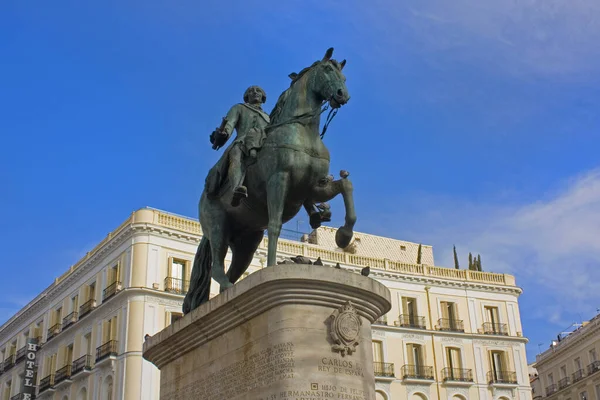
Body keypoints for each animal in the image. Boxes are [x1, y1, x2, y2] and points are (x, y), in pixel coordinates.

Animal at [183, 48, 356, 314]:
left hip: (247, 242)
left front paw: (344, 235)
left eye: (344, 77)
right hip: (217, 228)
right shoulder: (279, 180)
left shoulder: (313, 187)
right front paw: (273, 266)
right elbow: (275, 225)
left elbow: (346, 187)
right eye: (328, 70)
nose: (342, 95)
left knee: (232, 271)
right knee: (217, 268)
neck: (304, 132)